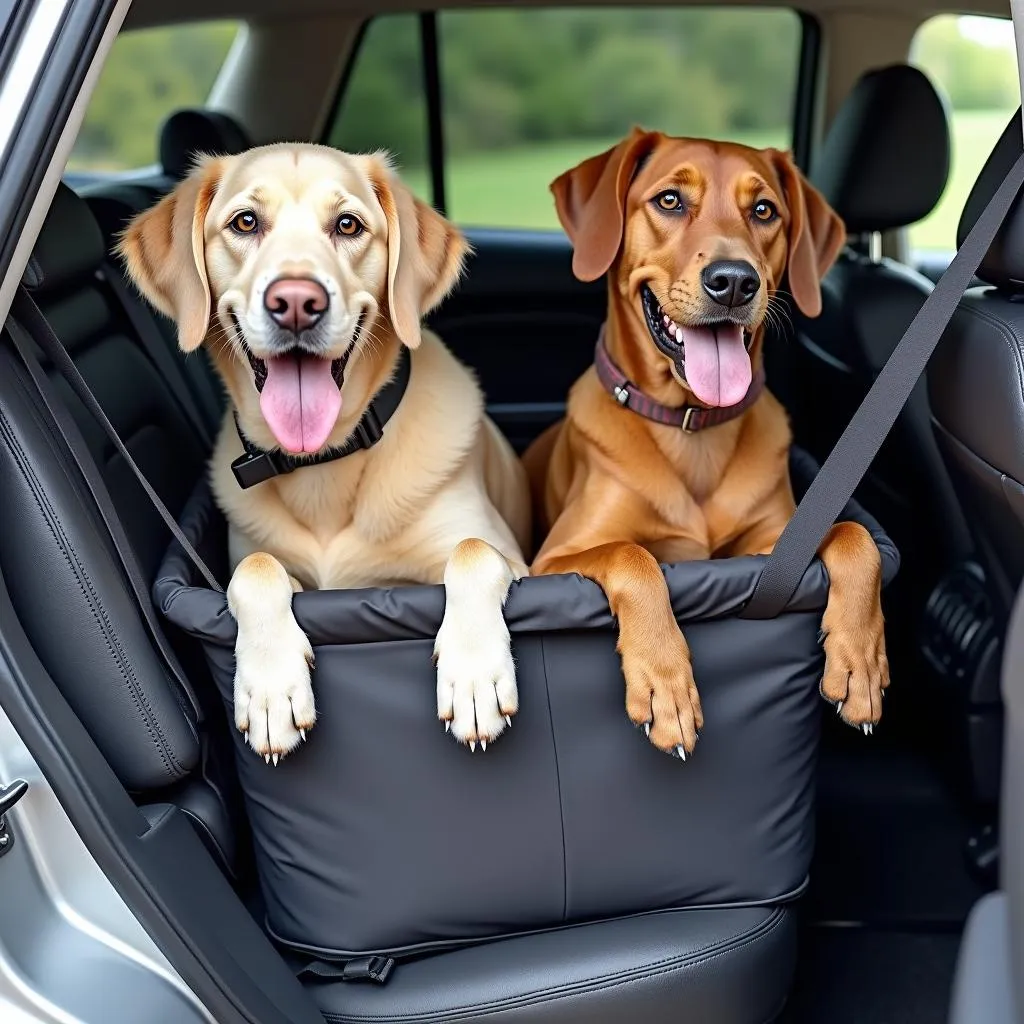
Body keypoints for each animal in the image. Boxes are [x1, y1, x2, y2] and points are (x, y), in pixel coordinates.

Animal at [121, 148, 528, 765]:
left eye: (348, 225)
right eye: (245, 222)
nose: (295, 303)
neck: (322, 464)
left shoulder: (512, 557)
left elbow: (474, 552)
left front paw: (475, 674)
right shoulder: (247, 559)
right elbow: (255, 568)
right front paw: (269, 687)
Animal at [520, 128, 888, 757]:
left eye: (763, 210)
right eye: (669, 200)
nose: (735, 281)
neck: (692, 426)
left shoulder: (776, 544)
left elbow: (854, 534)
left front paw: (861, 659)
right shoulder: (554, 561)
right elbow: (631, 553)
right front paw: (666, 684)